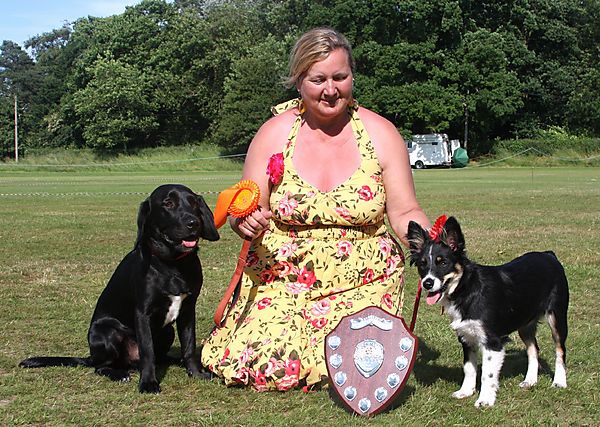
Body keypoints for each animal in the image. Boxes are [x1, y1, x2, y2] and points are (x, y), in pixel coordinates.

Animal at [18, 185, 220, 394]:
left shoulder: (187, 310)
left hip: (167, 331)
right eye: (168, 203)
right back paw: (119, 373)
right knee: (101, 367)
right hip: (106, 331)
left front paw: (195, 373)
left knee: (160, 357)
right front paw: (148, 383)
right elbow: (147, 351)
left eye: (193, 202)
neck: (173, 265)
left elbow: (188, 346)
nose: (193, 223)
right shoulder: (142, 313)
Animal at [408, 217, 568, 408]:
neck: (467, 290)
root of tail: (549, 255)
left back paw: (559, 382)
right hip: (525, 324)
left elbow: (487, 374)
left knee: (560, 350)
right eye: (422, 264)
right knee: (533, 350)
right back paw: (530, 381)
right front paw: (466, 391)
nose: (427, 283)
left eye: (443, 262)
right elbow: (469, 368)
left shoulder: (493, 341)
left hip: (557, 317)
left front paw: (485, 400)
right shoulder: (466, 336)